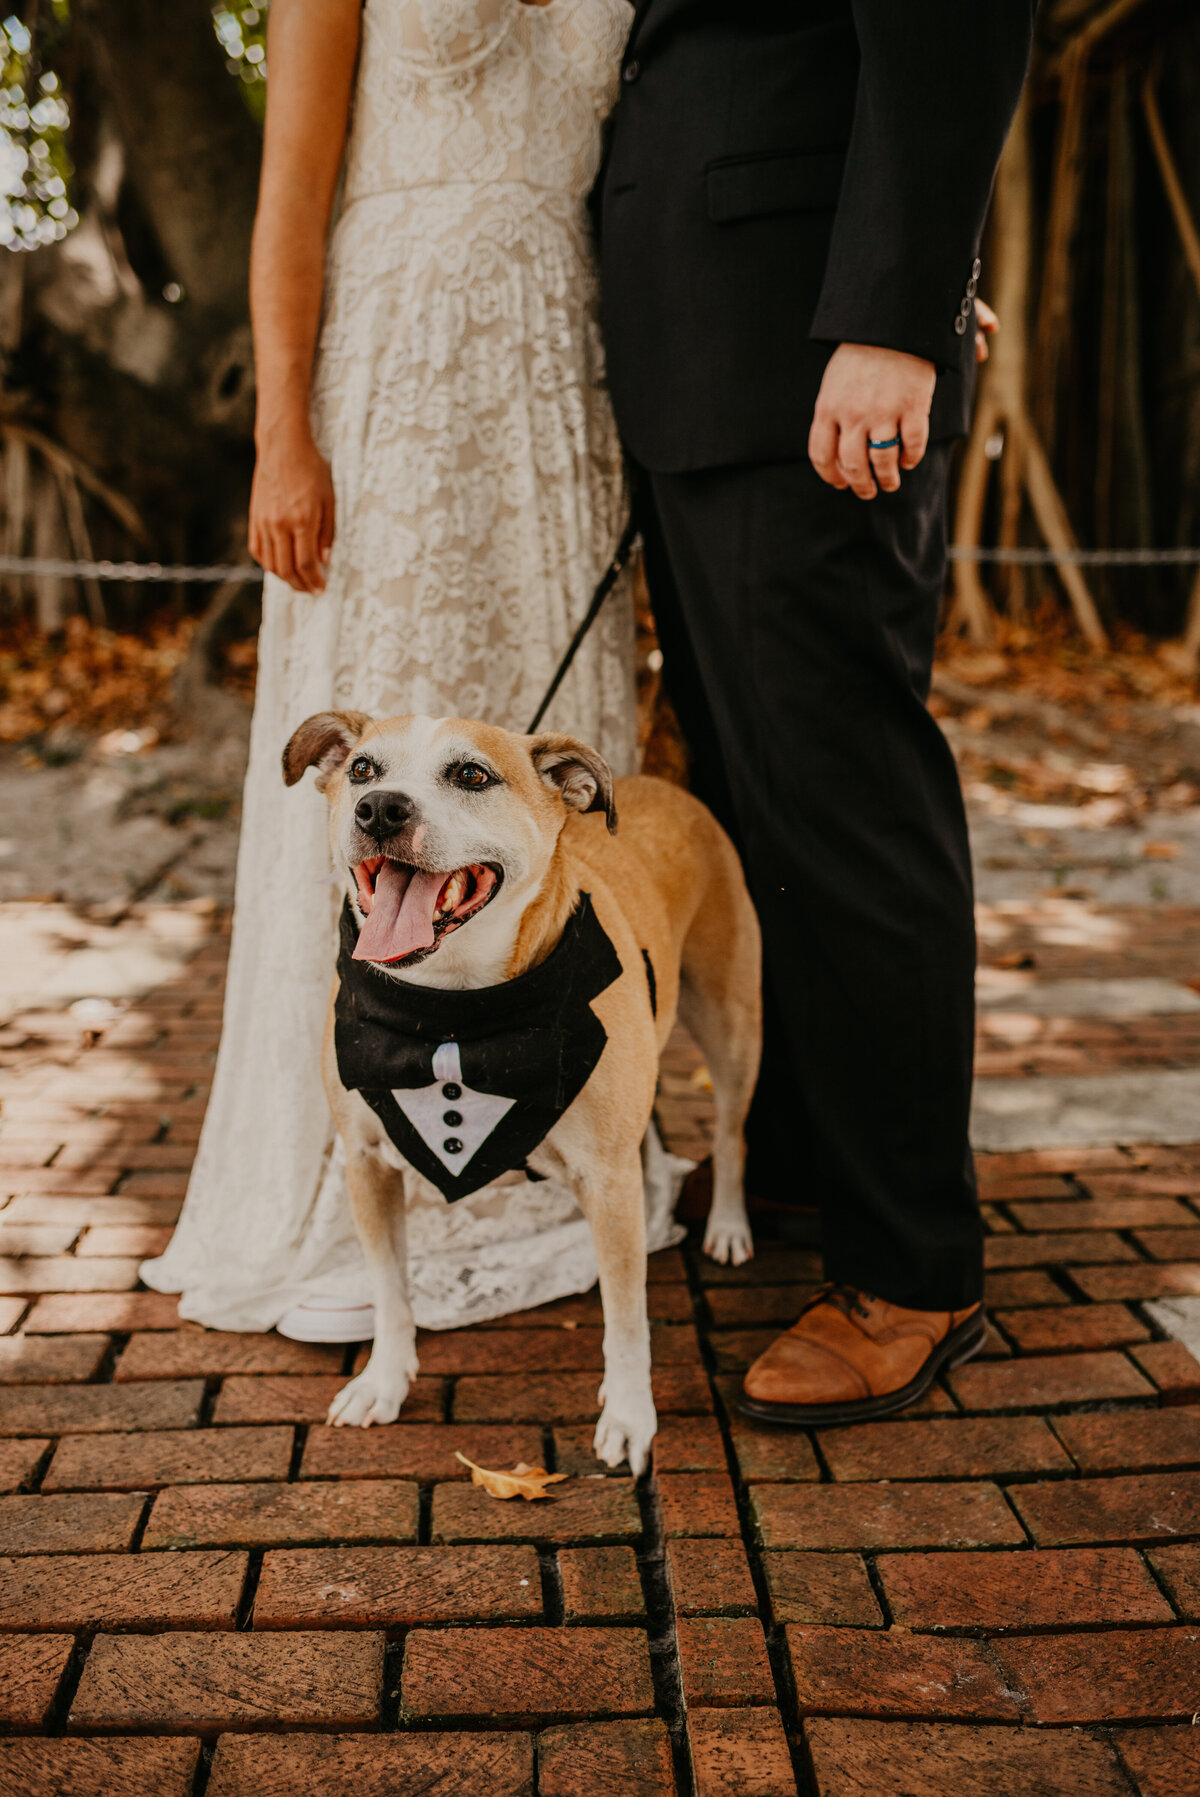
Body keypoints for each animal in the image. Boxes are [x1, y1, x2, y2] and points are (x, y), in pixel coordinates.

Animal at [282, 708, 758, 1480]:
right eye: (361, 769)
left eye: (472, 774)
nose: (379, 809)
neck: (451, 1010)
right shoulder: (367, 1162)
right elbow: (389, 1287)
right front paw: (384, 1381)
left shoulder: (607, 1176)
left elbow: (627, 1316)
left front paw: (629, 1415)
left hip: (732, 1022)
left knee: (731, 1132)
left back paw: (728, 1225)